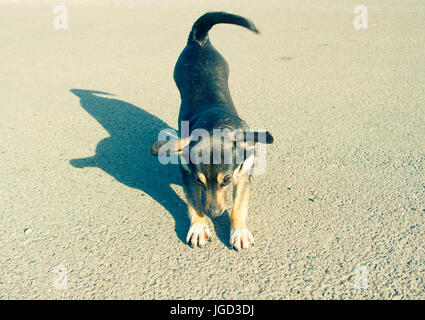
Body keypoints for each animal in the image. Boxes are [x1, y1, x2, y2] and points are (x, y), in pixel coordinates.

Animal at [151, 11, 274, 250]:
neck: (214, 125)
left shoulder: (242, 176)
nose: (215, 214)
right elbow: (194, 204)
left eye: (226, 180)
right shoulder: (188, 177)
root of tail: (199, 40)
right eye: (200, 181)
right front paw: (199, 227)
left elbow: (238, 207)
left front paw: (239, 232)